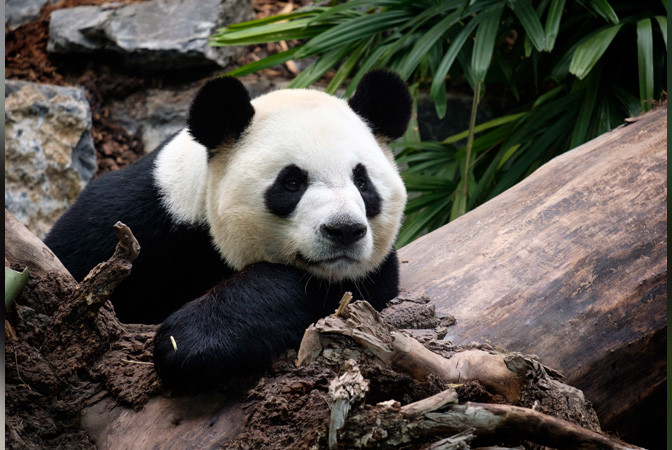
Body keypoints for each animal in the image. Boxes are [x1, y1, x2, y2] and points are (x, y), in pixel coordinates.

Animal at [44, 70, 412, 387]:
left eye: (362, 182)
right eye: (292, 182)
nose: (344, 230)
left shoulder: (365, 273)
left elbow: (332, 289)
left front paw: (193, 342)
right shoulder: (132, 216)